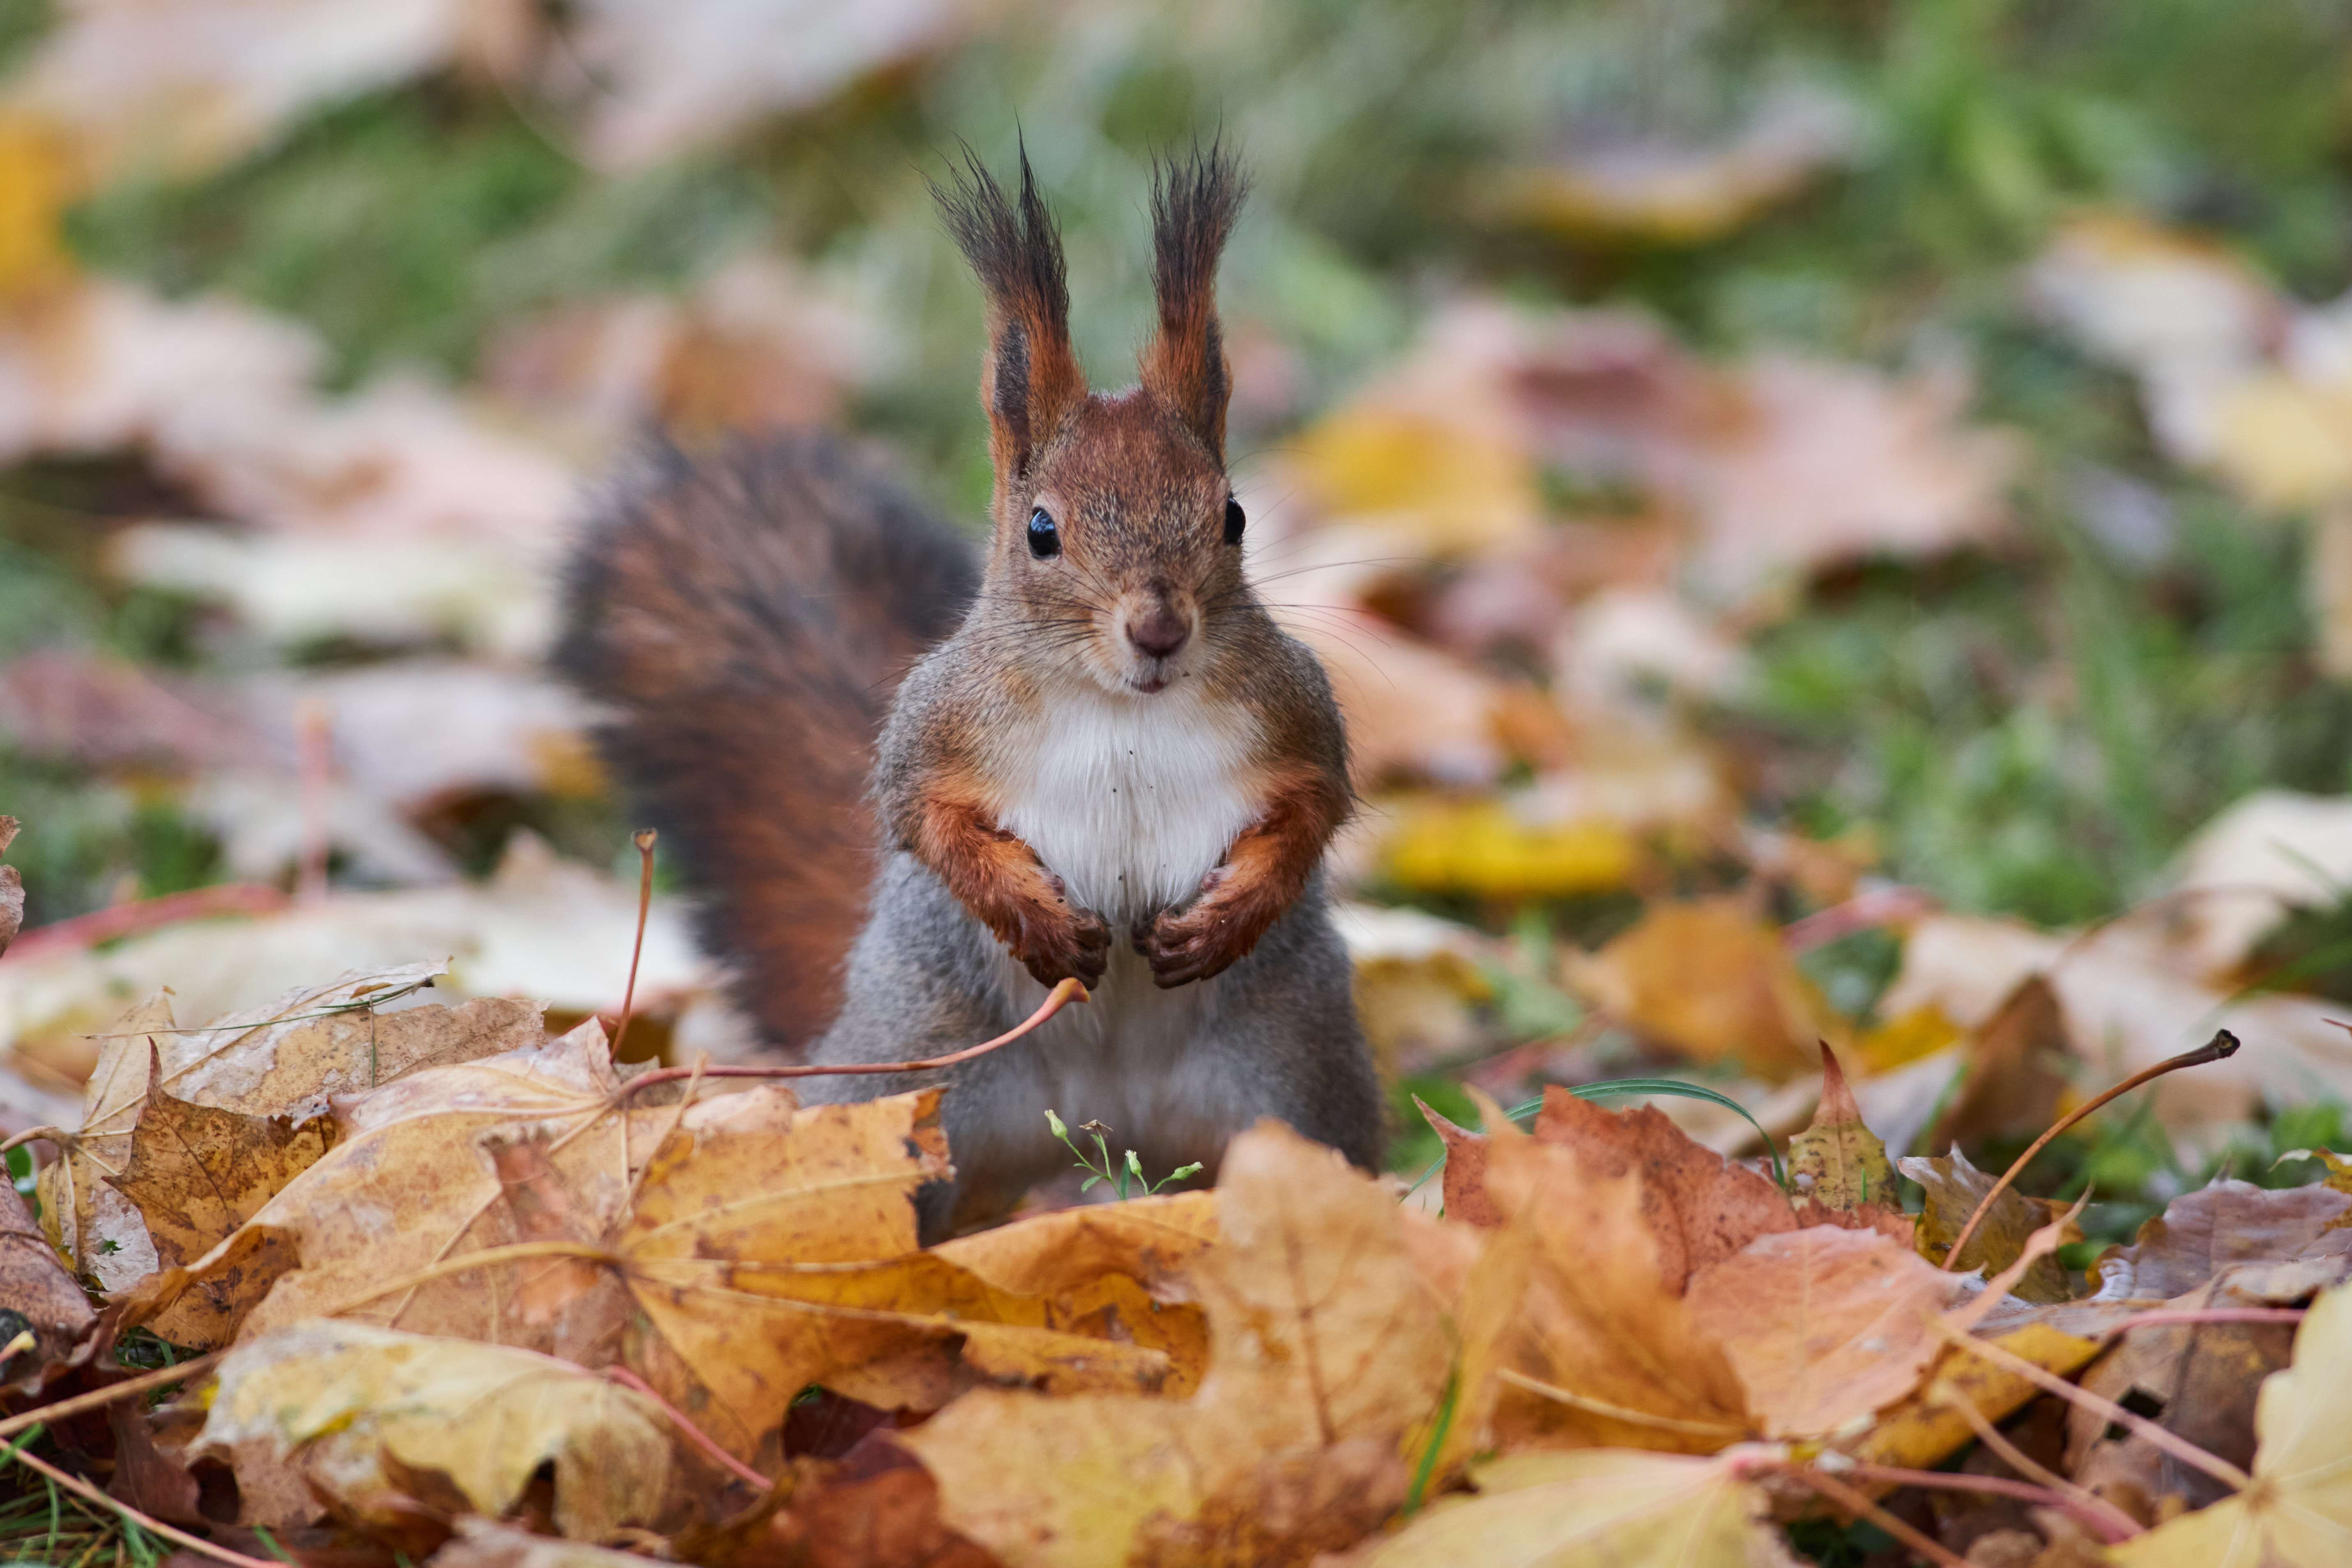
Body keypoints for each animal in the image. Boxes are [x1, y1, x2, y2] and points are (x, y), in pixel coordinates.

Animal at [557, 147, 1383, 1241]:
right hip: (907, 1077)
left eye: (1234, 516)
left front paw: (1228, 915)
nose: (1161, 630)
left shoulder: (1292, 712)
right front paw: (1031, 916)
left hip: (1293, 1076)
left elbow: (1313, 807)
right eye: (1041, 531)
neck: (1122, 706)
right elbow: (926, 819)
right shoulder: (938, 724)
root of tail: (1107, 1122)